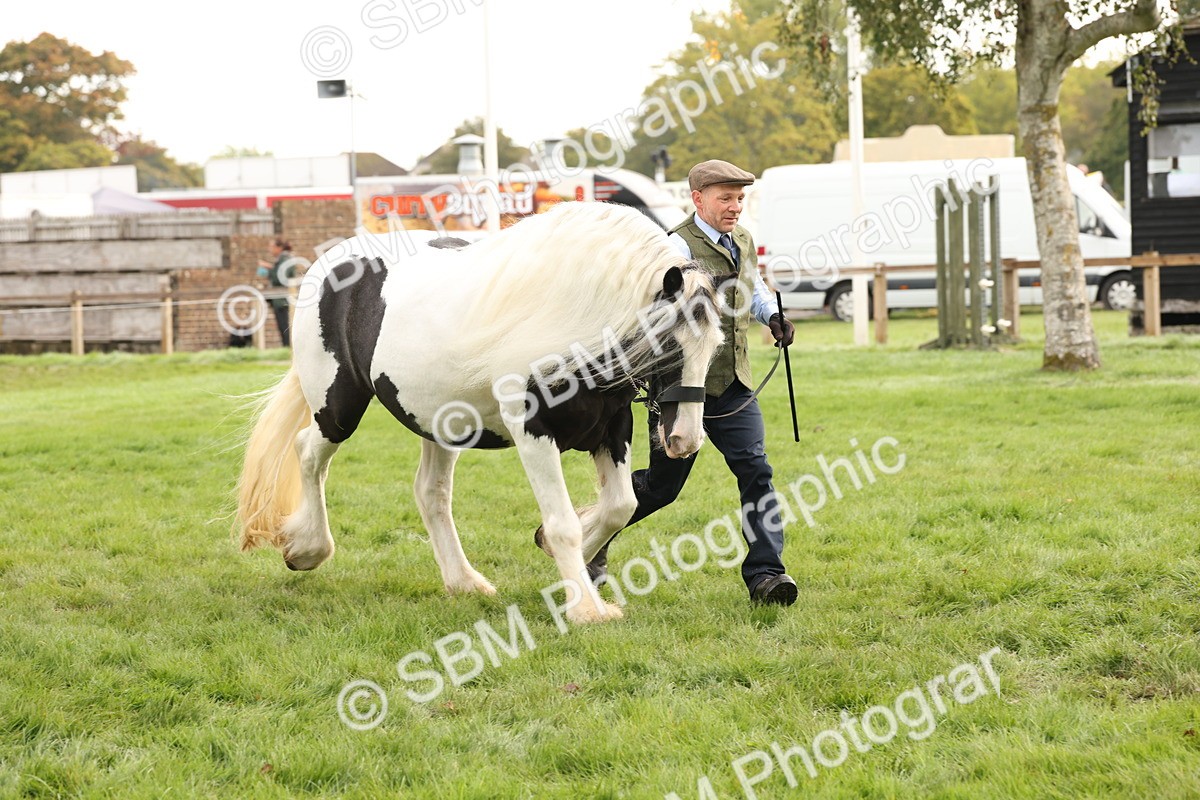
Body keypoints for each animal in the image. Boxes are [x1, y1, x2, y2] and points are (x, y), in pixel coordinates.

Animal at [234, 201, 724, 624]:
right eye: (665, 347)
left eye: (714, 348)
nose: (685, 439)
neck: (572, 321)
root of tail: (328, 263)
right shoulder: (532, 430)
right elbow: (563, 522)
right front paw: (586, 607)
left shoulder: (612, 427)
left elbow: (621, 506)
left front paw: (575, 565)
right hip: (338, 406)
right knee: (308, 452)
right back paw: (306, 549)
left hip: (438, 421)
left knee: (430, 492)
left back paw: (463, 581)